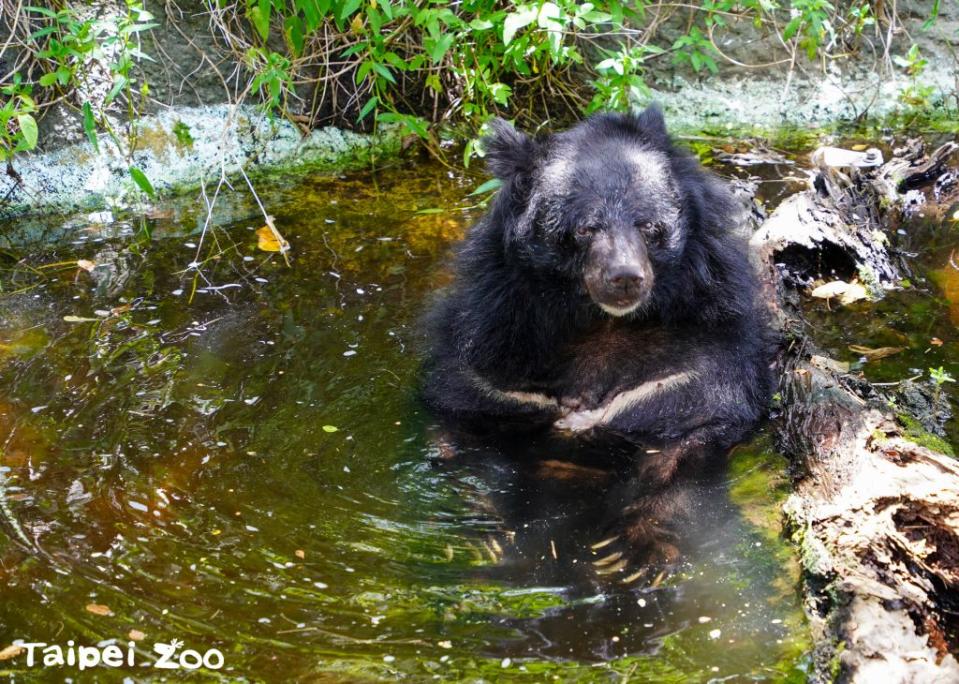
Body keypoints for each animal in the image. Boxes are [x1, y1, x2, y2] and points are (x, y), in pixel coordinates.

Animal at [420, 108, 772, 470]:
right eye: (585, 229)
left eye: (647, 225)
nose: (625, 277)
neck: (603, 321)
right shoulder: (494, 361)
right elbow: (465, 400)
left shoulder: (691, 374)